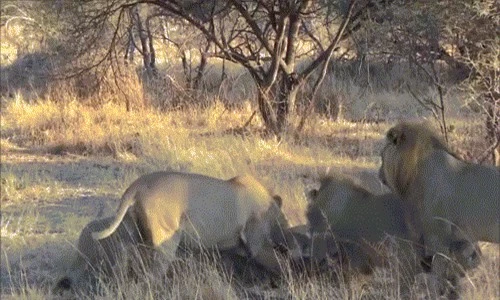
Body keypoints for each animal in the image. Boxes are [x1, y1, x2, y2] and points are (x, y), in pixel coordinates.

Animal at [55, 172, 292, 292]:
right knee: (151, 277)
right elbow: (280, 264)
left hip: (137, 237)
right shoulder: (257, 244)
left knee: (127, 263)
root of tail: (140, 183)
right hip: (166, 241)